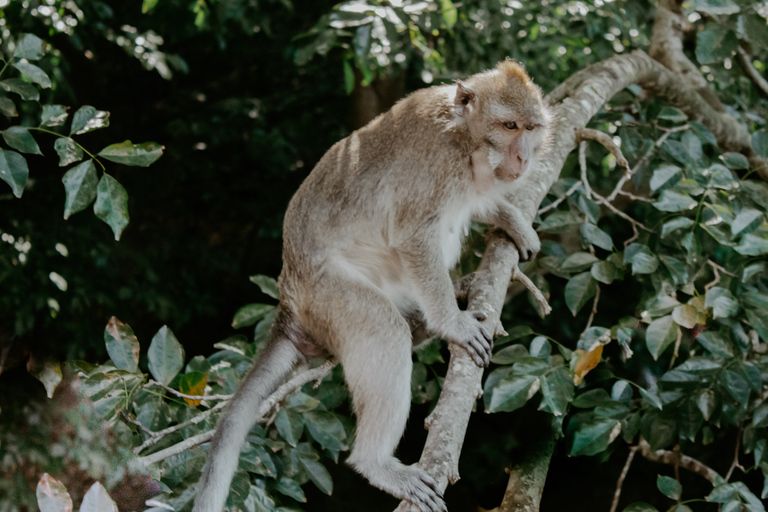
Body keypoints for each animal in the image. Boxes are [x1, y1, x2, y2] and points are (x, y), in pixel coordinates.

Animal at [195, 59, 548, 512]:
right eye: (509, 125)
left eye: (531, 128)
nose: (523, 156)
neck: (466, 140)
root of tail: (289, 298)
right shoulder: (435, 166)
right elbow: (414, 236)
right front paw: (453, 323)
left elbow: (478, 204)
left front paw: (513, 221)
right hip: (328, 296)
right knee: (384, 330)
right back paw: (375, 463)